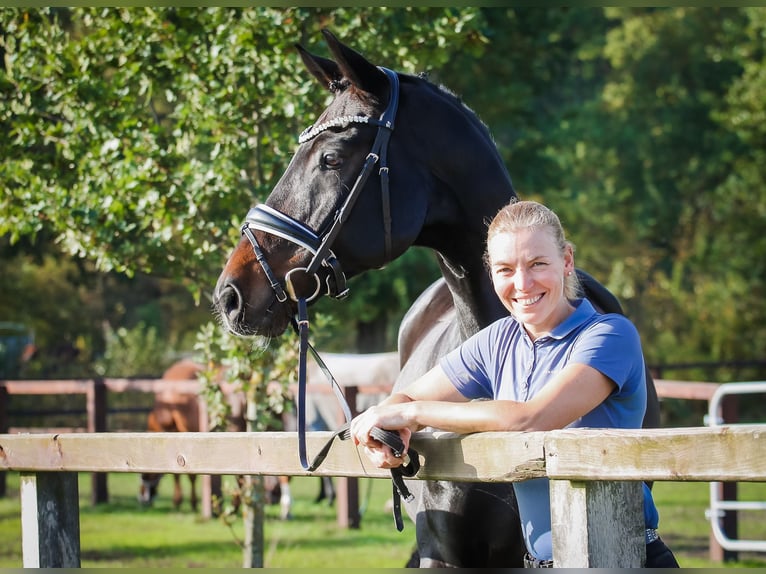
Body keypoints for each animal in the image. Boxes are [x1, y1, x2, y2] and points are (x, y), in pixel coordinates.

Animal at [136, 362, 296, 520]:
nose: (143, 498)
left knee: (242, 475)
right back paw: (283, 510)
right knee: (283, 475)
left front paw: (182, 502)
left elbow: (182, 473)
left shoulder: (175, 432)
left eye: (144, 474)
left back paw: (236, 508)